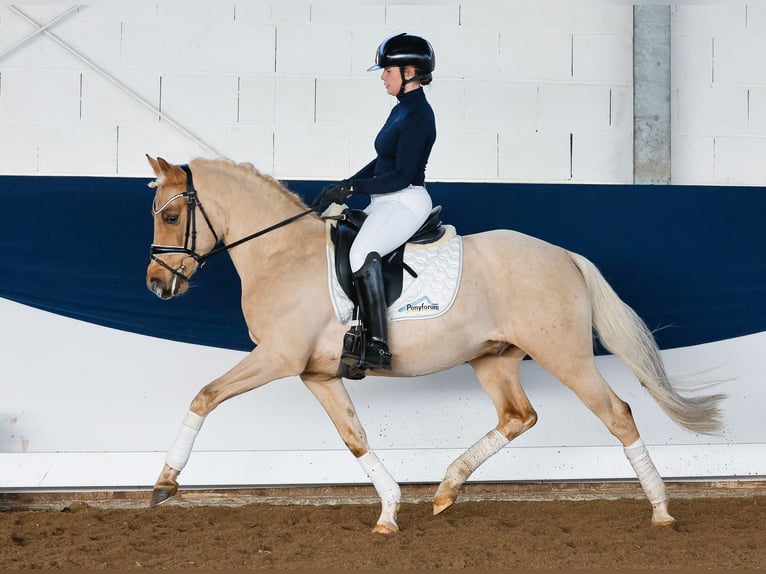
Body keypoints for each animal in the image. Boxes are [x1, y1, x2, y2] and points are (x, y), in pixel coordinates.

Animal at [144, 156, 728, 536]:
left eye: (171, 216)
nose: (156, 285)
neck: (281, 254)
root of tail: (563, 255)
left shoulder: (276, 359)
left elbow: (204, 395)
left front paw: (165, 483)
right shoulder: (318, 373)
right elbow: (354, 439)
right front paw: (388, 512)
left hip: (565, 357)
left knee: (618, 413)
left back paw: (661, 510)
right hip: (493, 358)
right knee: (519, 416)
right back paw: (446, 490)